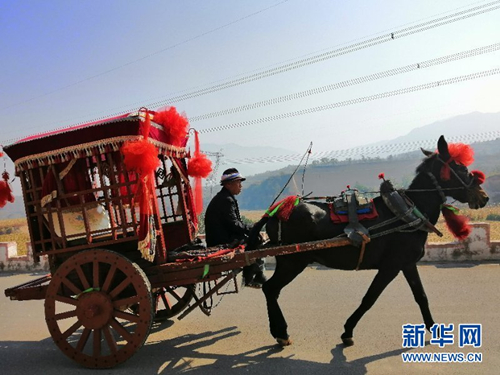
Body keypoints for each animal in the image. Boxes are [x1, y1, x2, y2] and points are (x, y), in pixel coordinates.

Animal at [249, 135, 488, 346]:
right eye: (461, 169)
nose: (484, 197)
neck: (404, 213)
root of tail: (275, 211)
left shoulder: (407, 263)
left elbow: (421, 296)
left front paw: (435, 329)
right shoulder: (391, 266)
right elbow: (370, 298)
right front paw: (347, 331)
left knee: (271, 290)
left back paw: (278, 332)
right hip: (293, 261)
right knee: (270, 289)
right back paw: (281, 333)